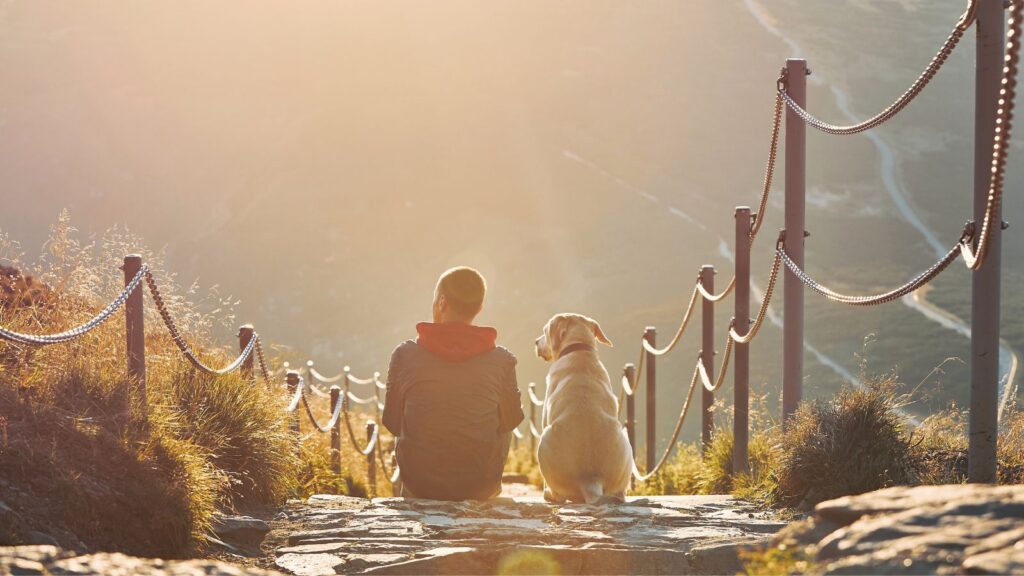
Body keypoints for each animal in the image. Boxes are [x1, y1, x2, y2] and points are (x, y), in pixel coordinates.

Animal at [536, 311, 630, 500]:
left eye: (544, 331)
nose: (535, 341)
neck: (579, 350)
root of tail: (591, 480)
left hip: (543, 440)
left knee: (558, 494)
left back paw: (549, 494)